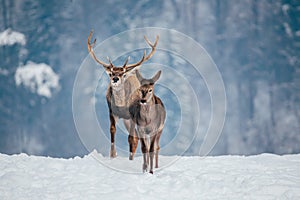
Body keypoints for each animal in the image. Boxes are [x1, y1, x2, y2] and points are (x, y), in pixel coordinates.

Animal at [87, 30, 159, 159]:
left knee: (138, 137)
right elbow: (112, 130)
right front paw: (112, 155)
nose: (115, 79)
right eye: (111, 73)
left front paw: (130, 158)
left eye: (124, 74)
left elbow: (131, 138)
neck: (121, 106)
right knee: (137, 137)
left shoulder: (133, 114)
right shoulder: (111, 111)